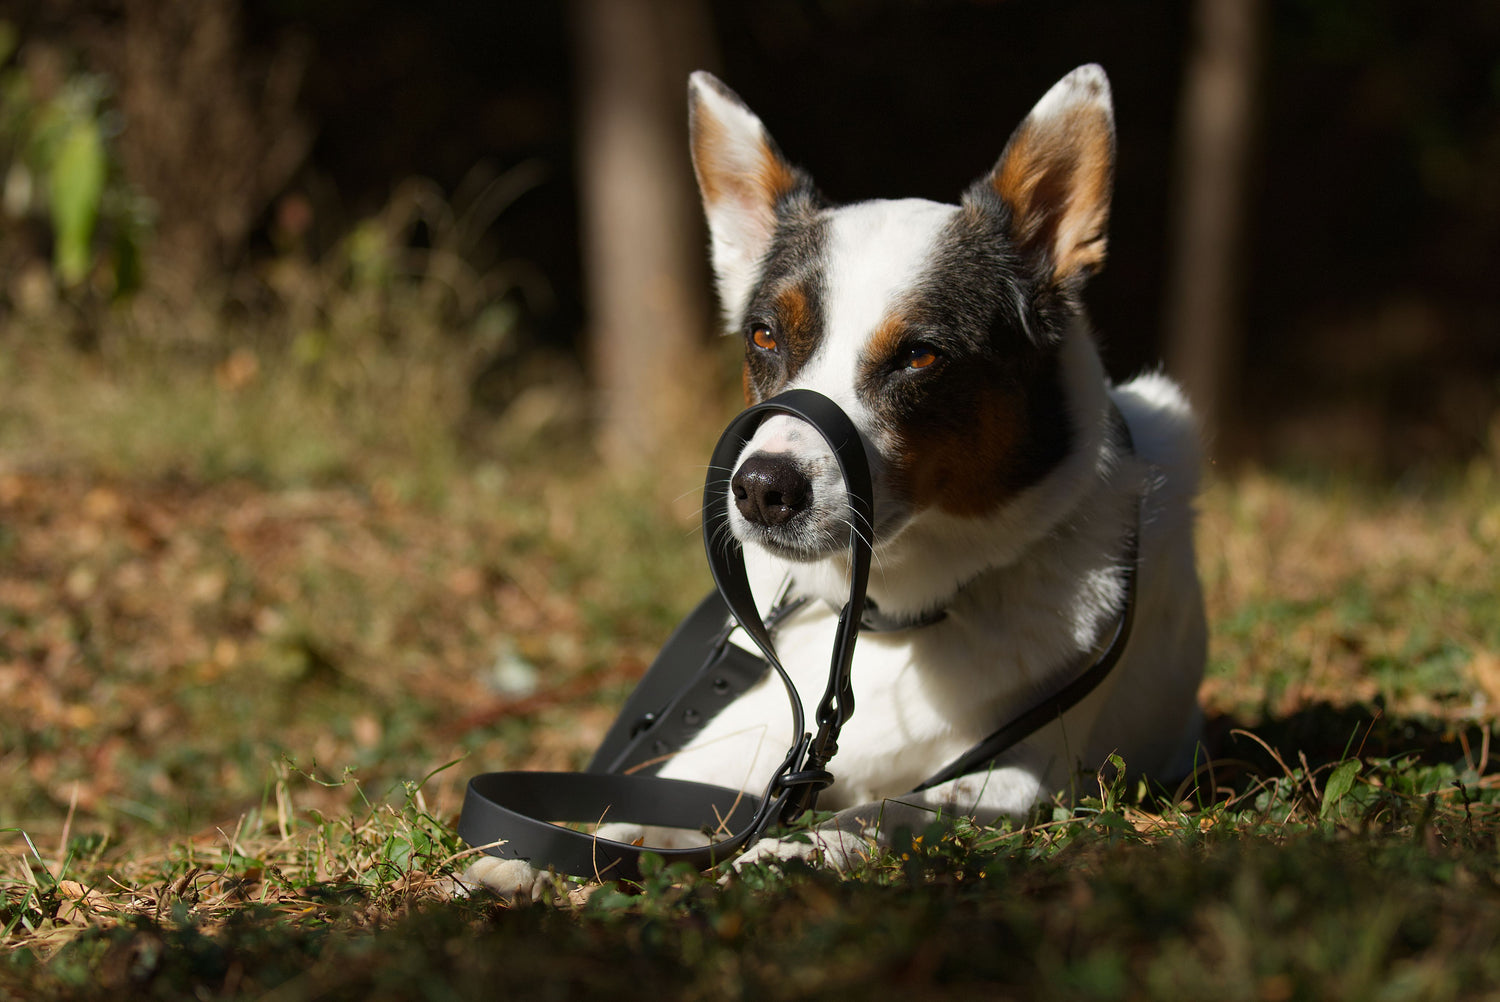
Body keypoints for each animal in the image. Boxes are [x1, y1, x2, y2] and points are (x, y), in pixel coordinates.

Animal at [468, 66, 1206, 894]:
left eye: (920, 355)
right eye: (764, 334)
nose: (760, 489)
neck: (898, 614)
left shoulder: (1022, 777)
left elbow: (887, 810)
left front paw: (799, 849)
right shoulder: (735, 746)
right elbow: (651, 802)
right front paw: (563, 853)